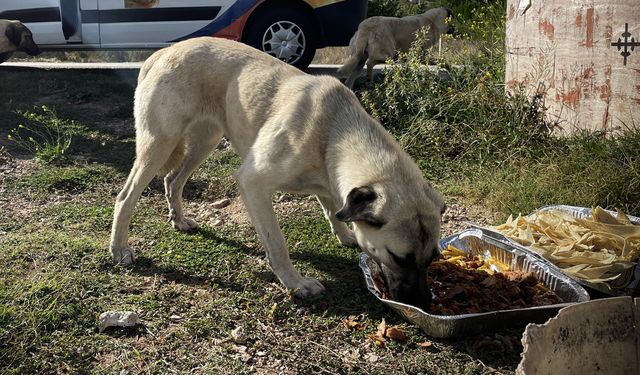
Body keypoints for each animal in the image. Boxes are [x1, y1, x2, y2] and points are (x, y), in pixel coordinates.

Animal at [111, 36, 444, 310]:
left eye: (432, 258)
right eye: (399, 258)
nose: (423, 303)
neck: (334, 131)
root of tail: (162, 52)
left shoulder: (330, 183)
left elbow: (333, 208)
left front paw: (344, 233)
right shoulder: (253, 182)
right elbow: (278, 244)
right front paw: (296, 283)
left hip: (205, 142)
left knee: (172, 180)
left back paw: (178, 219)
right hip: (159, 145)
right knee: (125, 197)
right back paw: (120, 249)